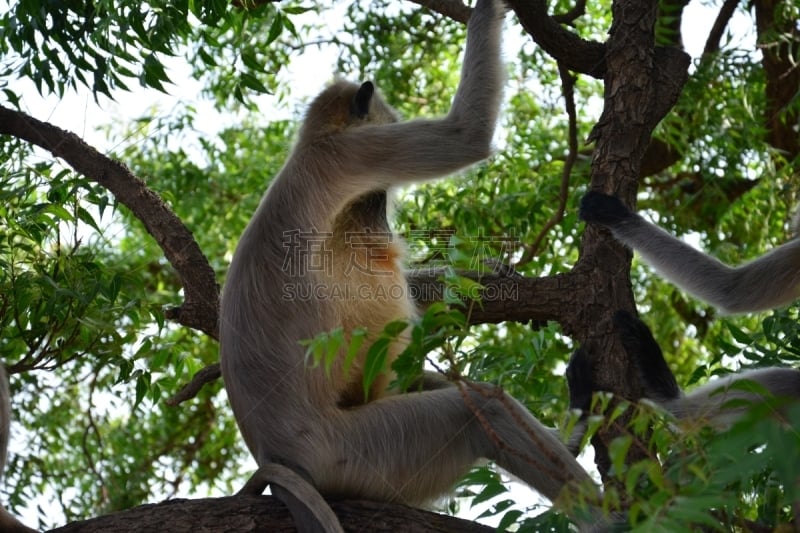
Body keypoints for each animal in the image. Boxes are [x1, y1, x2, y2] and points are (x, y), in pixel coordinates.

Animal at [219, 0, 608, 528]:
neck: (313, 145)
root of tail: (274, 456)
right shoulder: (354, 154)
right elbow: (466, 135)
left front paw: (483, 274)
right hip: (357, 453)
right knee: (477, 410)